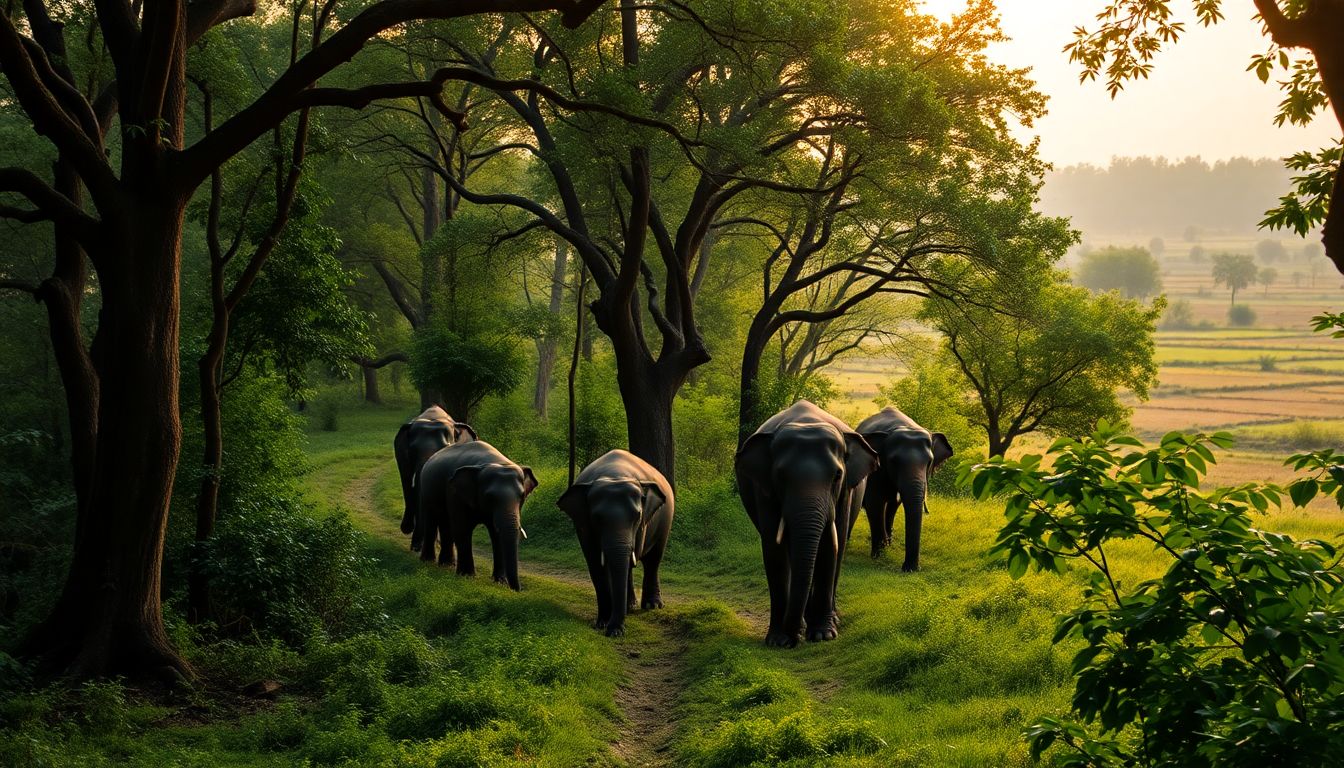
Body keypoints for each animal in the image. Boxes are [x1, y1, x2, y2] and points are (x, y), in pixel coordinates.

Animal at [417, 440, 537, 591]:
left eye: (522, 496)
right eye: (490, 497)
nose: (518, 590)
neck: (494, 462)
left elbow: (496, 534)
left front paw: (500, 582)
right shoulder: (455, 493)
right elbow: (462, 528)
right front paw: (467, 577)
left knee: (446, 524)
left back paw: (447, 564)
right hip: (426, 490)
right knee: (432, 520)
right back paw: (428, 561)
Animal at [557, 450, 674, 638]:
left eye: (637, 517)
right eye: (596, 519)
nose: (615, 632)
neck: (615, 475)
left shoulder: (643, 524)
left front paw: (613, 626)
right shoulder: (583, 525)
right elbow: (596, 564)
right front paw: (603, 623)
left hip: (665, 521)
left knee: (653, 559)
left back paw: (652, 606)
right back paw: (630, 606)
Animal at [736, 399, 879, 647]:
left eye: (837, 476)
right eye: (780, 476)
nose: (794, 639)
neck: (807, 422)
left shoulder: (845, 493)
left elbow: (831, 547)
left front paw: (823, 635)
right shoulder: (763, 489)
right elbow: (774, 551)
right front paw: (778, 640)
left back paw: (829, 619)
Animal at [853, 407, 953, 572]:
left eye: (930, 461)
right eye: (894, 461)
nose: (910, 569)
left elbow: (895, 503)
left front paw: (886, 548)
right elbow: (875, 502)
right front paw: (879, 555)